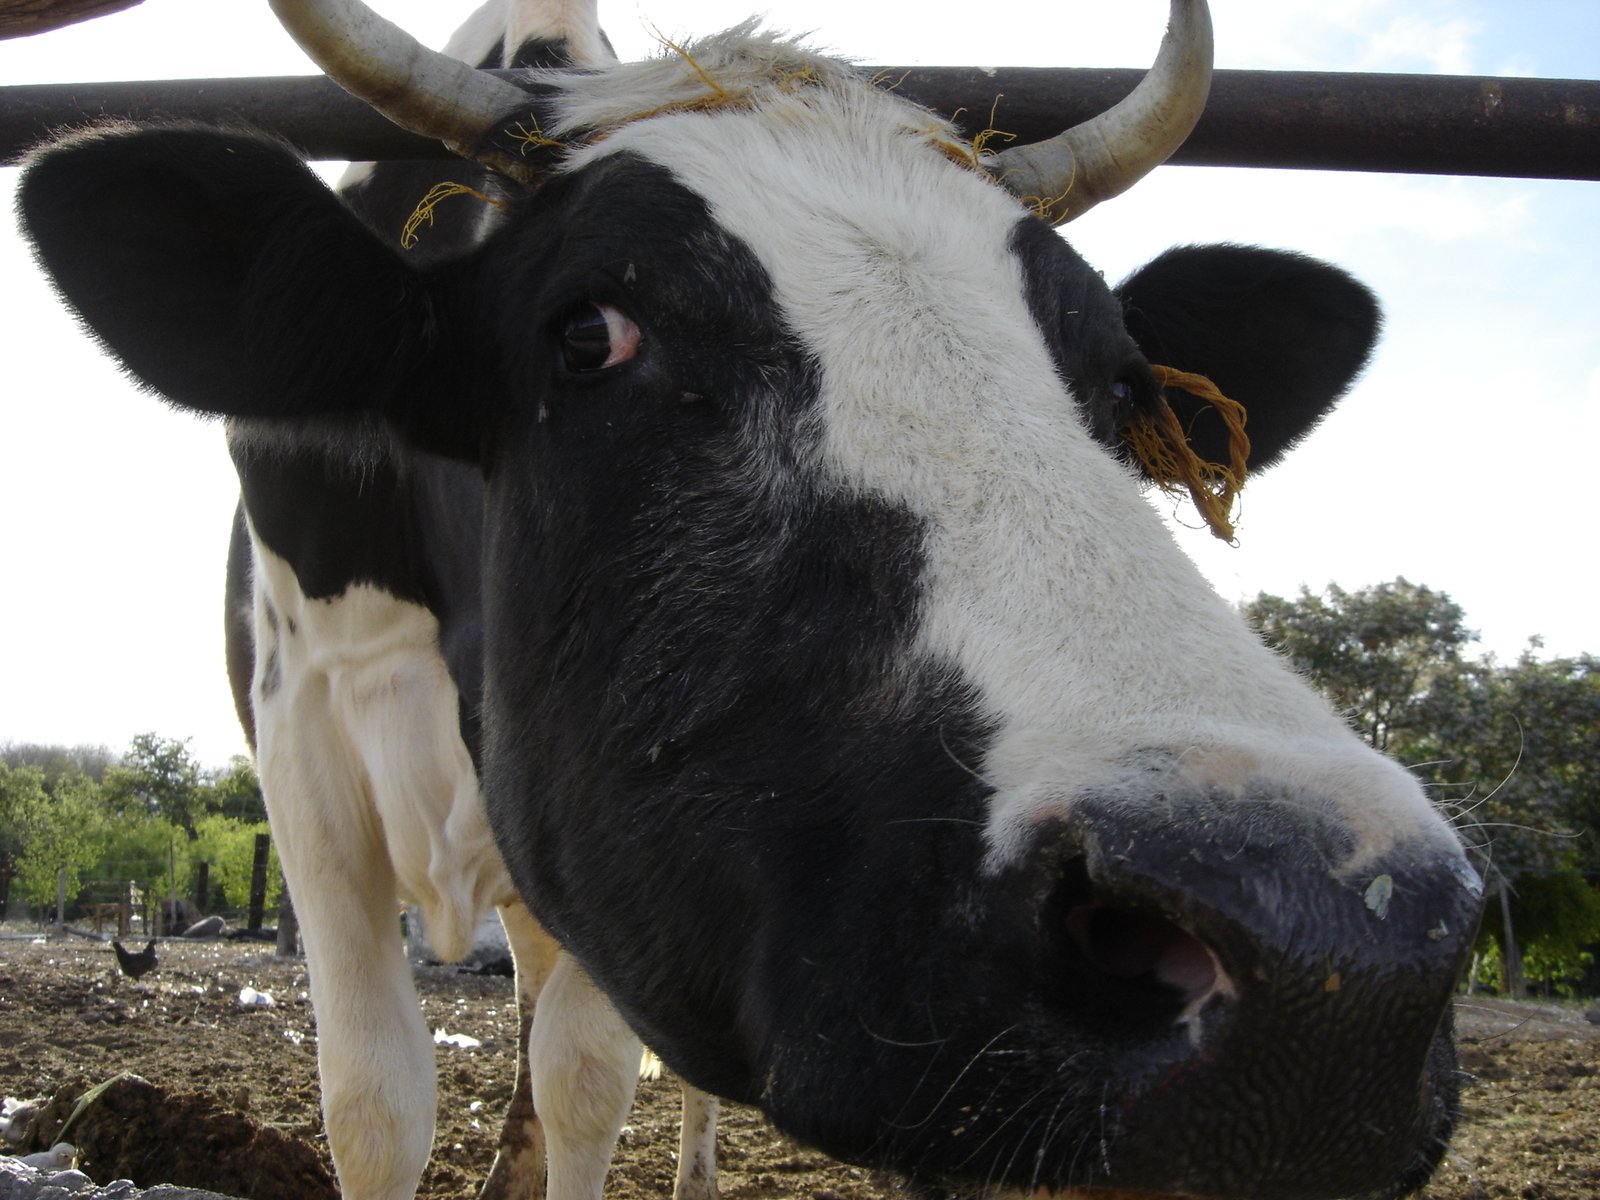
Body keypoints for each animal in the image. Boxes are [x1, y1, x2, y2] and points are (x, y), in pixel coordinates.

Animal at [18, 2, 1478, 1200]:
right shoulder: (305, 741)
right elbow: (376, 1104)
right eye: (588, 331)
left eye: (1121, 385)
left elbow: (585, 1083)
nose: (1339, 958)